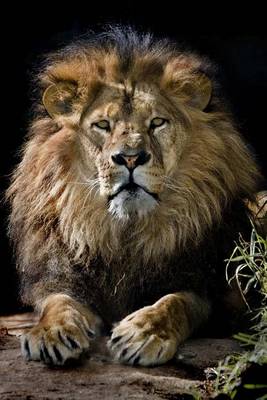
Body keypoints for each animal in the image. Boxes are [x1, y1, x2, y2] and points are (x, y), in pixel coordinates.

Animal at [6, 26, 264, 368]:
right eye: (103, 125)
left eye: (157, 122)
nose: (130, 158)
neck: (125, 232)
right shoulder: (61, 277)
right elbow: (59, 302)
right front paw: (52, 332)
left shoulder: (206, 287)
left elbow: (175, 303)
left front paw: (143, 334)